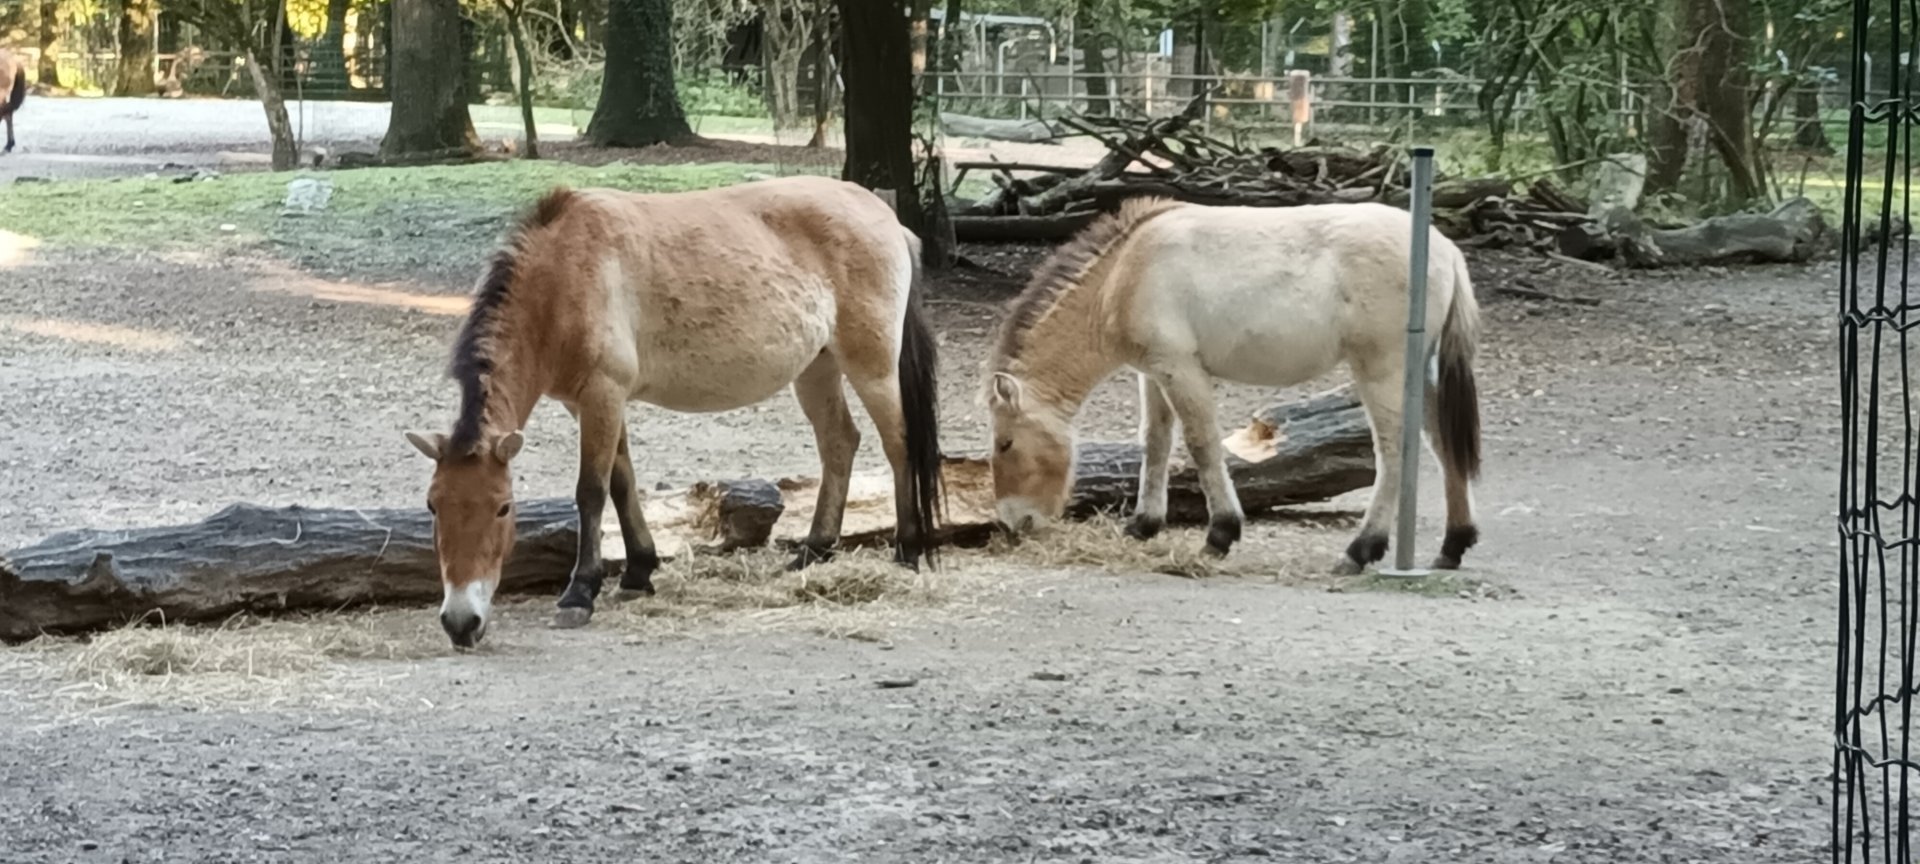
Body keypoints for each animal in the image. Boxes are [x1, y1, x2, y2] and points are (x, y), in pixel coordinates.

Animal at [405, 175, 944, 648]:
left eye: (503, 507)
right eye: (433, 505)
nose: (461, 622)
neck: (561, 275)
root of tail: (889, 220)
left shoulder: (603, 393)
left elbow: (591, 491)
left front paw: (580, 592)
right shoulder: (592, 403)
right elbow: (621, 483)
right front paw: (638, 571)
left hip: (872, 368)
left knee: (898, 444)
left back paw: (908, 549)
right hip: (817, 368)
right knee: (840, 443)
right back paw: (815, 551)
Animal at [983, 197, 1483, 575]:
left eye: (1006, 443)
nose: (1014, 522)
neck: (1125, 273)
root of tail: (1445, 249)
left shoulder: (1180, 369)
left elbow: (1202, 444)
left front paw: (1220, 534)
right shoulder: (1153, 373)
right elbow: (1155, 443)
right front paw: (1143, 525)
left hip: (1382, 370)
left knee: (1395, 452)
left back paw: (1361, 550)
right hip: (1421, 372)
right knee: (1443, 444)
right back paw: (1452, 545)